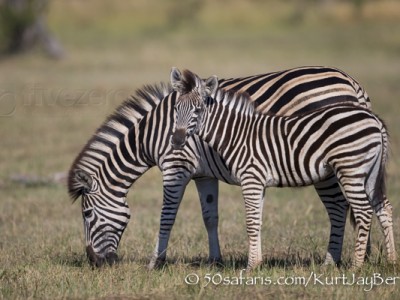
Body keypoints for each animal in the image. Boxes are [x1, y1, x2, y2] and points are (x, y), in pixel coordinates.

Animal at [69, 65, 372, 268]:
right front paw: (216, 260)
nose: (94, 262)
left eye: (87, 214)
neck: (151, 134)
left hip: (331, 165)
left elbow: (167, 216)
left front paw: (156, 262)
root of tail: (352, 83)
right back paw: (362, 257)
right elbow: (210, 216)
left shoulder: (176, 166)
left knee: (339, 207)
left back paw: (333, 262)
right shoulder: (204, 174)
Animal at [170, 68, 396, 270]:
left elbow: (250, 222)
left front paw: (250, 267)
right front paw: (257, 264)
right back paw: (391, 261)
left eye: (198, 110)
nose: (177, 140)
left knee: (362, 211)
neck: (236, 133)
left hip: (350, 169)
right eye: (175, 109)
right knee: (383, 207)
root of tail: (374, 118)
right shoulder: (258, 182)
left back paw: (356, 267)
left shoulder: (251, 177)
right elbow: (258, 222)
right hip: (370, 173)